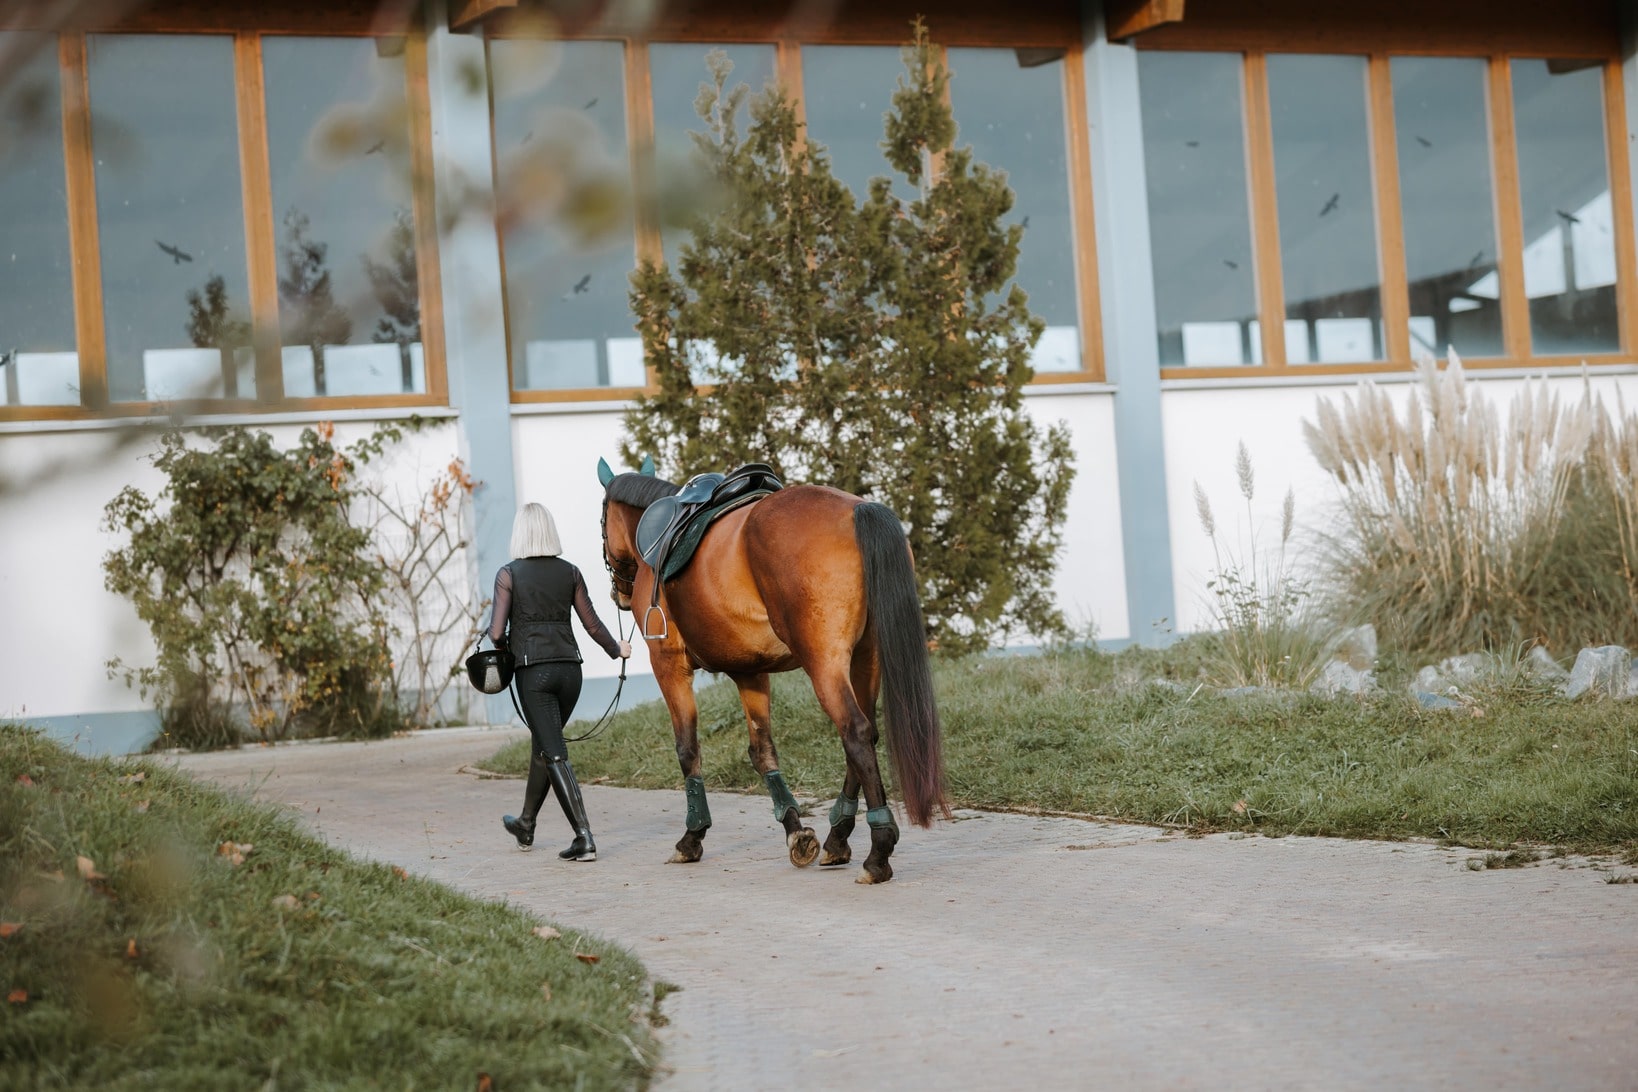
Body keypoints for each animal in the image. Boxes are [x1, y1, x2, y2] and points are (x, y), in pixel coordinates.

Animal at [596, 458, 949, 884]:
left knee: (855, 732)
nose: (618, 592)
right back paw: (838, 837)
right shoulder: (750, 672)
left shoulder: (668, 665)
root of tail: (858, 510)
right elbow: (762, 751)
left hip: (824, 663)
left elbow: (687, 749)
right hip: (867, 660)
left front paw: (692, 837)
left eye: (601, 521)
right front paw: (795, 829)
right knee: (866, 734)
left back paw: (878, 852)